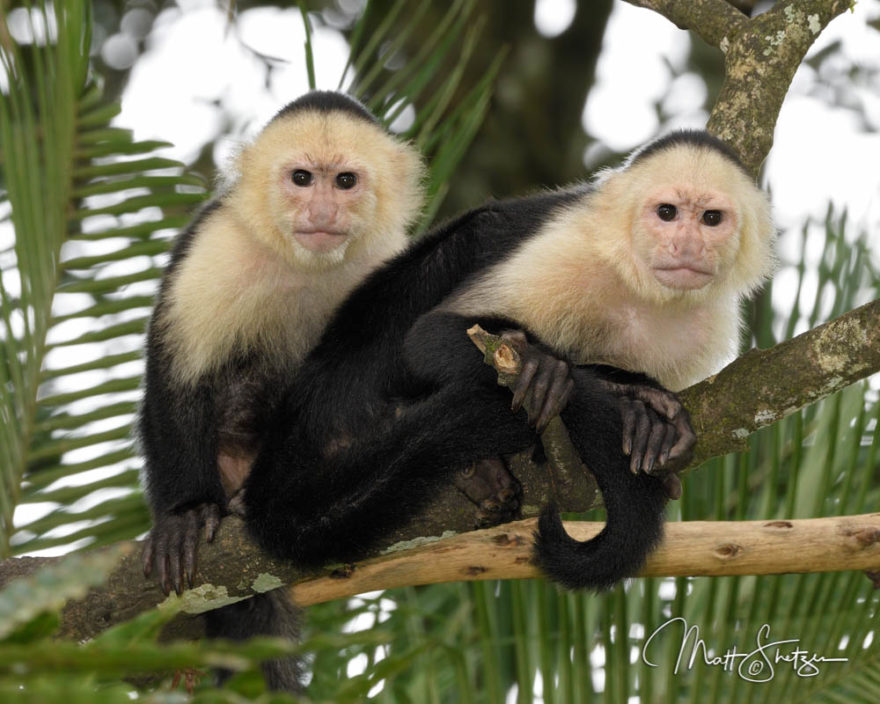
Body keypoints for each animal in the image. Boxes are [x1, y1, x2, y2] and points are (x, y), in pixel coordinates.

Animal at [138, 91, 426, 692]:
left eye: (344, 181)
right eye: (301, 178)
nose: (321, 212)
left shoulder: (388, 257)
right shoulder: (216, 244)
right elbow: (179, 373)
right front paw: (185, 514)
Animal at [242, 128, 776, 592]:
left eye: (711, 219)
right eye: (666, 212)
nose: (686, 244)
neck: (636, 287)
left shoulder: (707, 327)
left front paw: (643, 408)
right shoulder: (567, 250)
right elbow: (429, 337)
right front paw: (610, 389)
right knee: (470, 238)